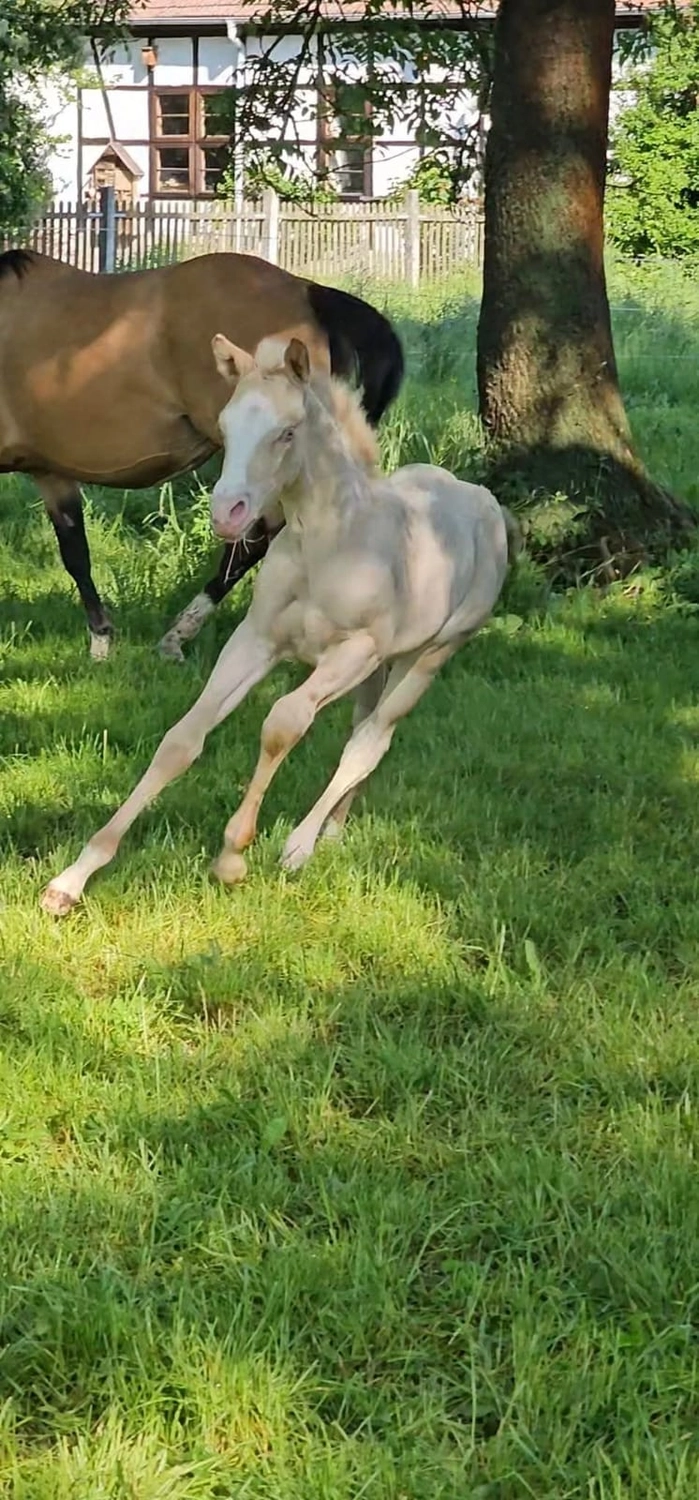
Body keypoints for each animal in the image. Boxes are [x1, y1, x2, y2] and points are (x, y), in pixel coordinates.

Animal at [41, 333, 520, 917]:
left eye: (286, 432)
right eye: (225, 426)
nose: (227, 514)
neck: (328, 543)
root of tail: (488, 505)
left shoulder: (352, 650)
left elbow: (283, 722)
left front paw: (232, 856)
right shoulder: (257, 640)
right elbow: (182, 739)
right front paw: (72, 879)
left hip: (427, 658)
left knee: (371, 741)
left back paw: (300, 846)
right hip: (381, 667)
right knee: (361, 729)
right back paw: (333, 833)